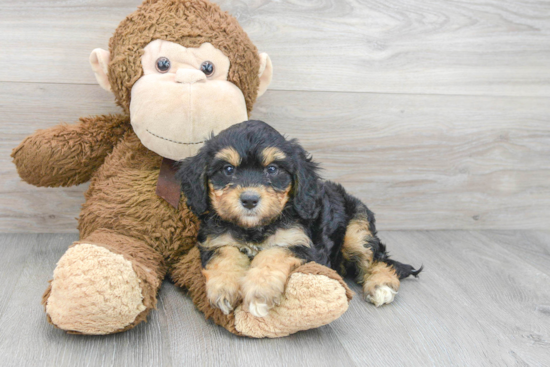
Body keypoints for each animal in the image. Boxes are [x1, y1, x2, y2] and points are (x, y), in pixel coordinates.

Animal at [178, 121, 422, 320]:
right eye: (228, 169)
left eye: (272, 169)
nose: (249, 200)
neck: (255, 228)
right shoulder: (215, 239)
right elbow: (225, 255)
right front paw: (224, 289)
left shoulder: (299, 243)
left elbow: (273, 255)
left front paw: (259, 292)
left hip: (357, 228)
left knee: (378, 259)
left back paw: (381, 286)